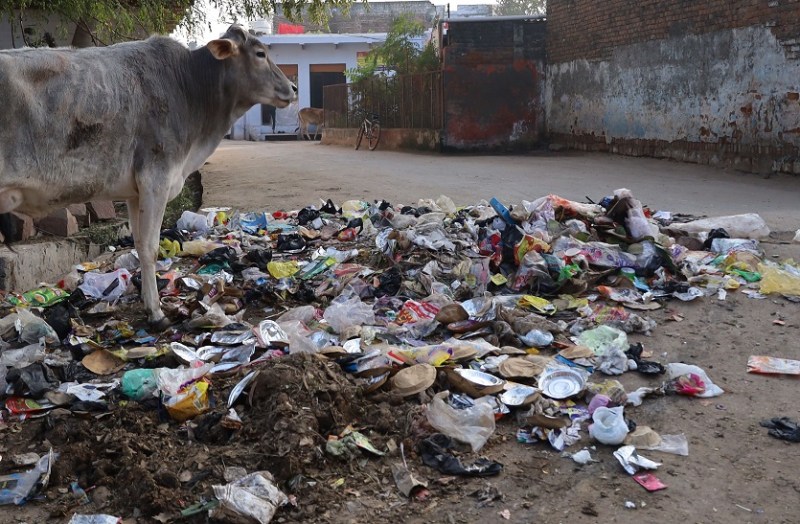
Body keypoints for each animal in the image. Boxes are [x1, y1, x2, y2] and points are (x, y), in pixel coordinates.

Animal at [0, 25, 296, 328]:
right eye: (260, 53)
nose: (294, 88)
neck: (190, 87)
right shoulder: (157, 179)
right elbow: (151, 248)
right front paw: (156, 311)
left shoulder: (134, 192)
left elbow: (140, 244)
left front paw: (146, 302)